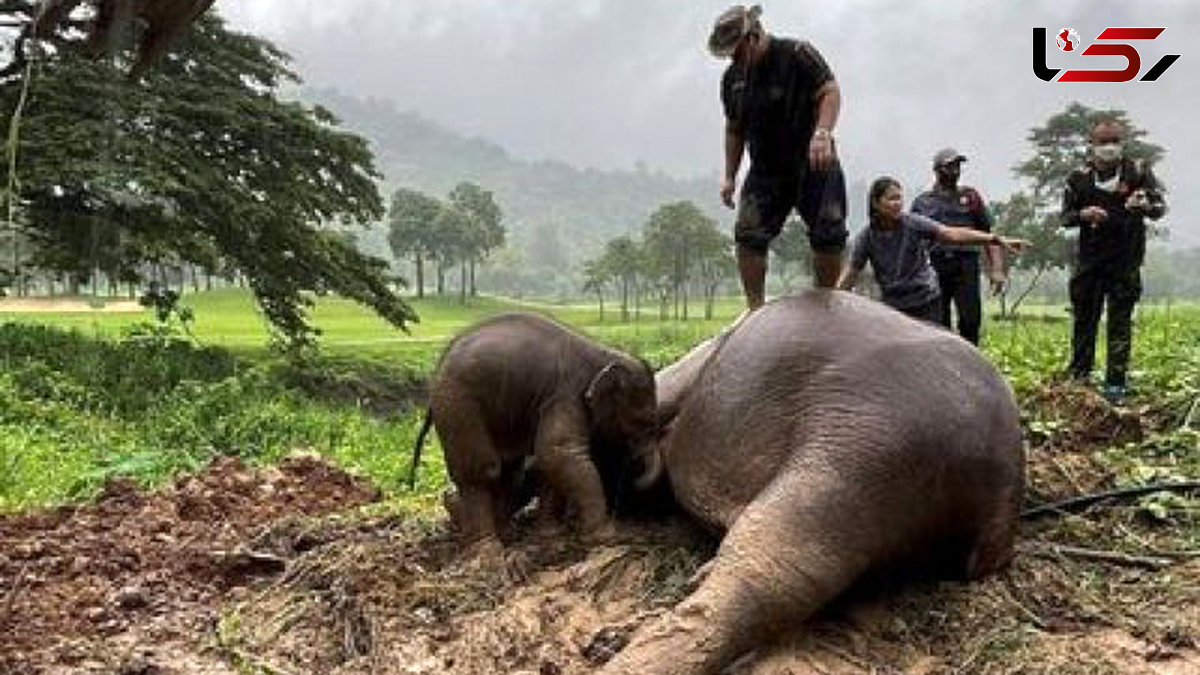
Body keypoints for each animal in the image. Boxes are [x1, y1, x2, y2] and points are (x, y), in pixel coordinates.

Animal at [412, 312, 657, 550]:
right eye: (643, 421)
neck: (604, 352)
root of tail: (436, 372)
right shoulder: (565, 395)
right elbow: (559, 453)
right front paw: (610, 537)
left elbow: (546, 462)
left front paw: (552, 536)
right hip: (458, 402)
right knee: (483, 469)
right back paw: (488, 546)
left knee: (509, 468)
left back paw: (506, 534)